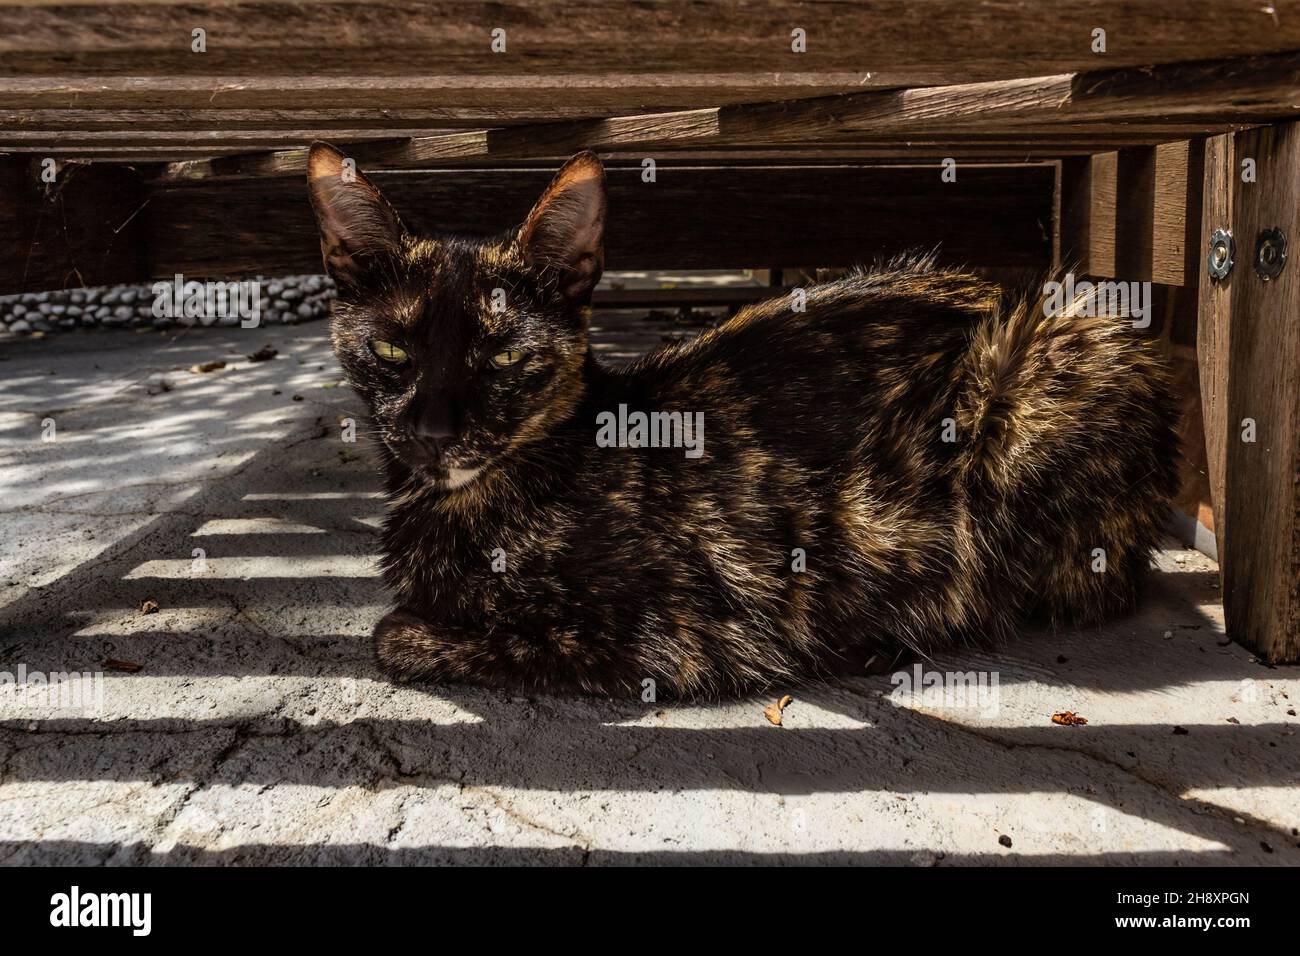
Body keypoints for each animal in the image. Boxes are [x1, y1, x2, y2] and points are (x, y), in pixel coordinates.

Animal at [309, 143, 1185, 697]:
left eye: (499, 356)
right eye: (392, 348)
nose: (432, 431)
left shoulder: (672, 636)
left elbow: (396, 635)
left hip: (1059, 346)